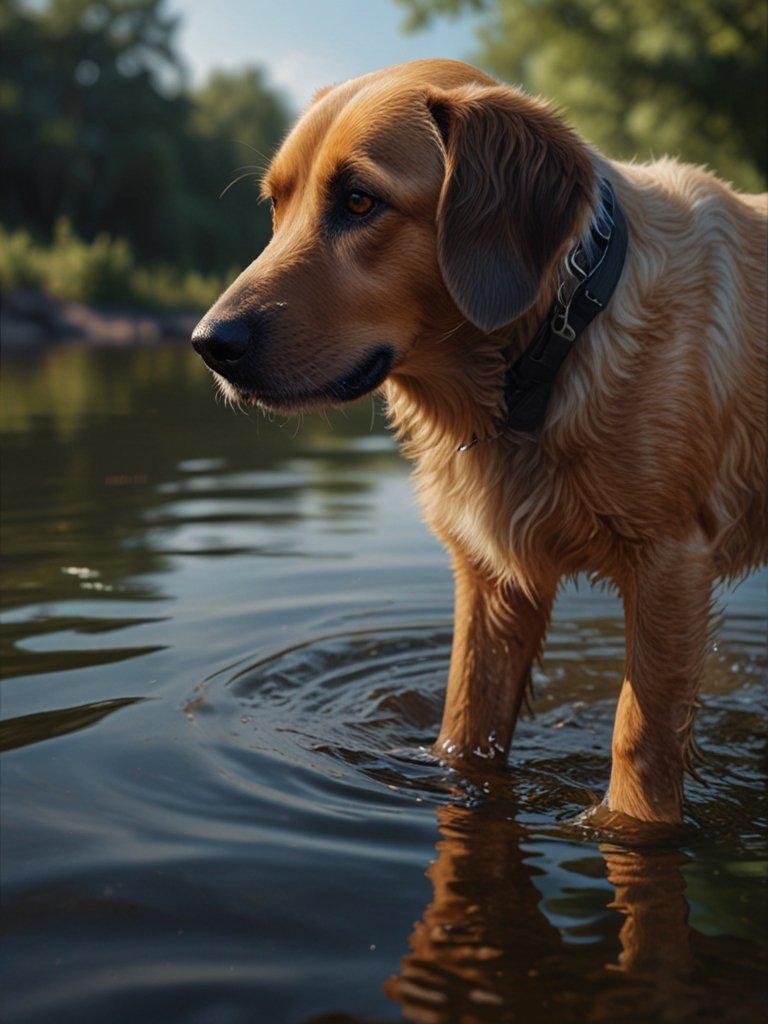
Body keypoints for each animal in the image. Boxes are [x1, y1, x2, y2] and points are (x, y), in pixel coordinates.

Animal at [193, 59, 768, 823]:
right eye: (276, 207)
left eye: (358, 201)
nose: (208, 343)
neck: (550, 354)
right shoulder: (492, 578)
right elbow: (465, 727)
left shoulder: (671, 565)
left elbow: (638, 743)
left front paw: (624, 824)